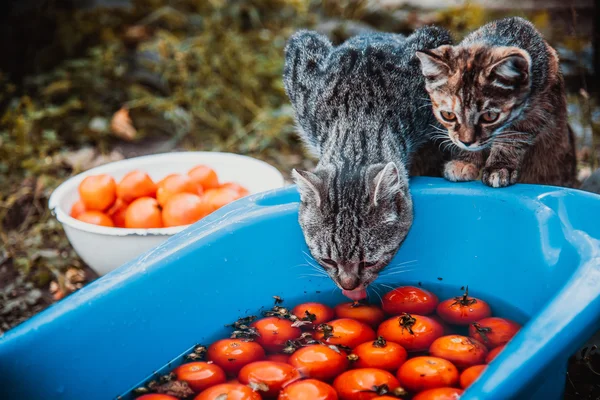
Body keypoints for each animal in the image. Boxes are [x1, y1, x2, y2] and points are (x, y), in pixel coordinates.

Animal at [418, 16, 576, 188]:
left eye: (489, 117)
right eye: (448, 115)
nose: (466, 142)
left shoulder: (538, 109)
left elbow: (511, 137)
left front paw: (499, 167)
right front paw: (464, 161)